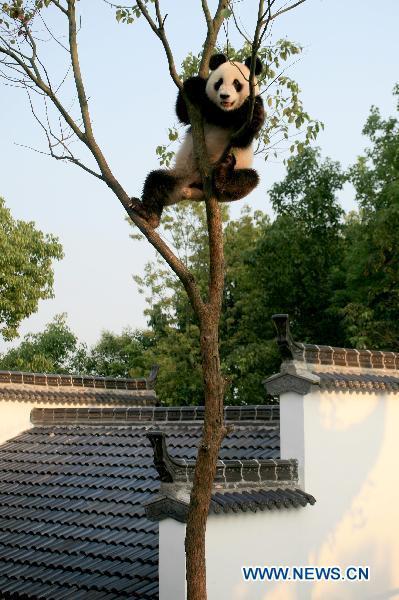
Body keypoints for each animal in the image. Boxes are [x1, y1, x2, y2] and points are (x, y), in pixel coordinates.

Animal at [130, 54, 264, 229]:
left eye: (237, 83)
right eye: (219, 82)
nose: (224, 96)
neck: (225, 110)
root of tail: (192, 190)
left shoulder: (251, 107)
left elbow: (243, 137)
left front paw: (254, 117)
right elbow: (183, 112)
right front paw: (194, 84)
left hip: (232, 173)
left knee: (248, 180)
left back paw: (222, 177)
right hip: (180, 176)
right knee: (156, 181)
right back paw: (147, 213)